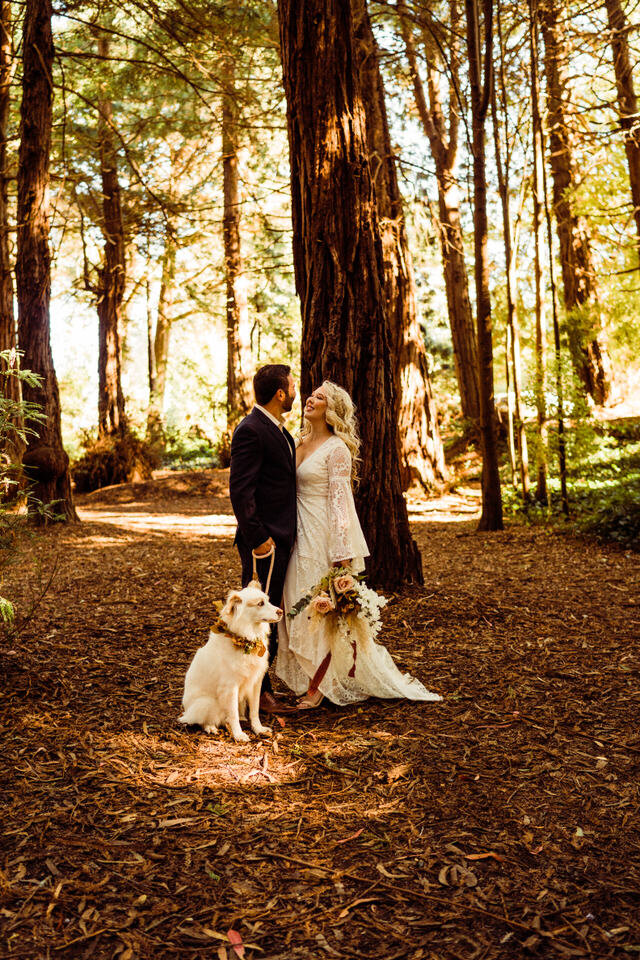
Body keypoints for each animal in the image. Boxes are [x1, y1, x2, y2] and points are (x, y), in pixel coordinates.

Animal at [179, 576, 282, 744]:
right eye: (260, 603)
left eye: (268, 600)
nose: (281, 611)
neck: (246, 638)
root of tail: (186, 710)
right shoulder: (230, 688)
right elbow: (233, 714)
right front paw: (238, 734)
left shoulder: (255, 683)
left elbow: (254, 710)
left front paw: (258, 729)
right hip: (206, 703)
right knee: (201, 720)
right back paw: (211, 727)